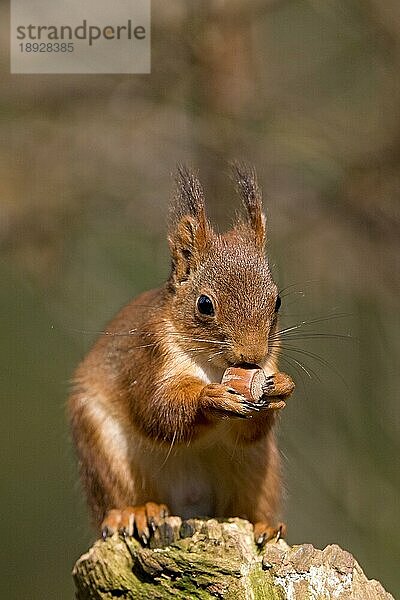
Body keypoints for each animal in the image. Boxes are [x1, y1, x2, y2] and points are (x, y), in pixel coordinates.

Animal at [68, 163, 294, 544]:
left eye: (276, 301)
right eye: (204, 305)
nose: (252, 357)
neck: (213, 366)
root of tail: (189, 506)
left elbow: (250, 430)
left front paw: (281, 387)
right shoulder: (147, 357)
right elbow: (156, 411)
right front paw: (210, 398)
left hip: (257, 466)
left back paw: (264, 526)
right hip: (102, 449)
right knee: (117, 500)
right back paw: (135, 512)